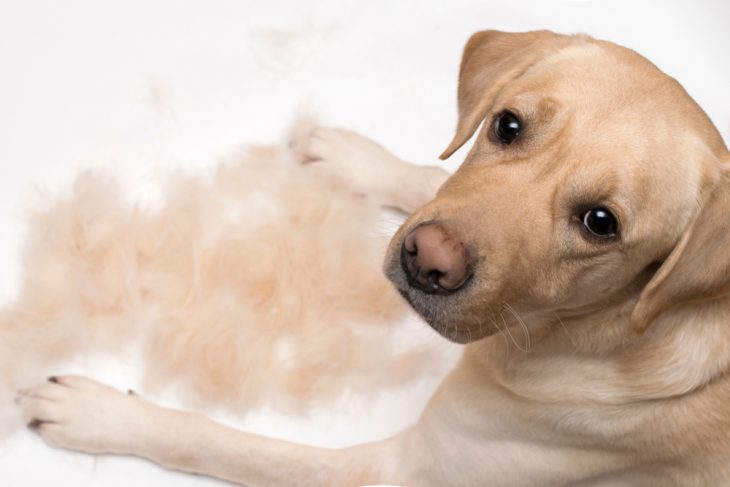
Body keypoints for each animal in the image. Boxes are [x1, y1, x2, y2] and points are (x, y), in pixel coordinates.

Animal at [12, 31, 728, 487]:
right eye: (507, 125)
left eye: (601, 223)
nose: (428, 260)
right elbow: (430, 178)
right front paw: (359, 161)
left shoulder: (403, 472)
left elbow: (233, 446)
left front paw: (103, 414)